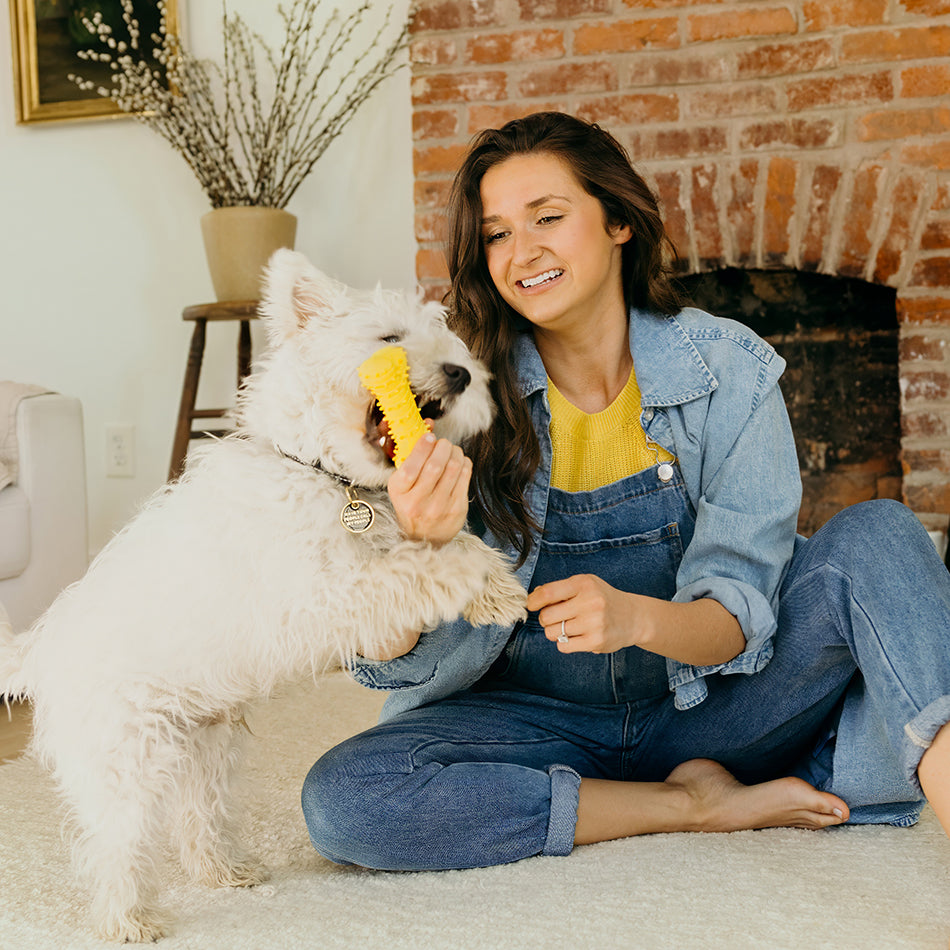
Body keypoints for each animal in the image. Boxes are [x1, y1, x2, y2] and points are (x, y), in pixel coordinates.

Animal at [0, 251, 528, 944]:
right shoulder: (330, 594)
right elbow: (422, 566)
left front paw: (500, 592)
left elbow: (444, 548)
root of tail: (39, 649)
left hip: (209, 746)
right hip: (127, 760)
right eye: (389, 337)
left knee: (198, 818)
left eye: (451, 341)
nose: (463, 374)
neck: (319, 472)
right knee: (113, 846)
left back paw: (228, 871)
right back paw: (129, 920)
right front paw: (477, 577)